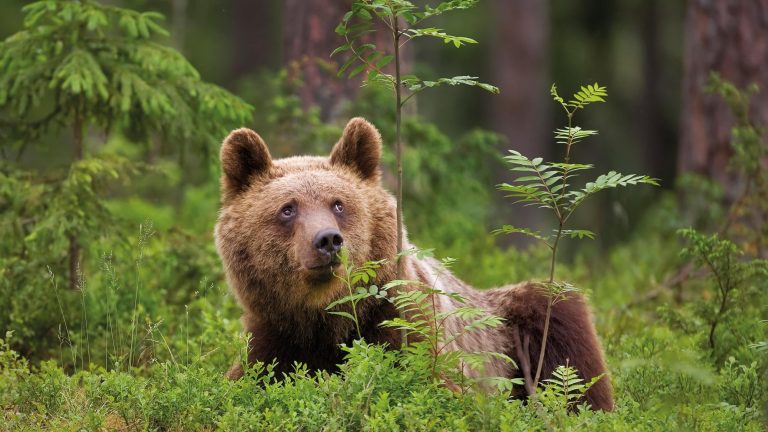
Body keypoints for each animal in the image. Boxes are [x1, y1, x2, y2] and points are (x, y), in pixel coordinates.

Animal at [216, 117, 616, 408]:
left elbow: (439, 389)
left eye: (338, 204)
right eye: (287, 209)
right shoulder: (273, 337)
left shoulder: (405, 324)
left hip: (515, 326)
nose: (328, 241)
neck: (326, 318)